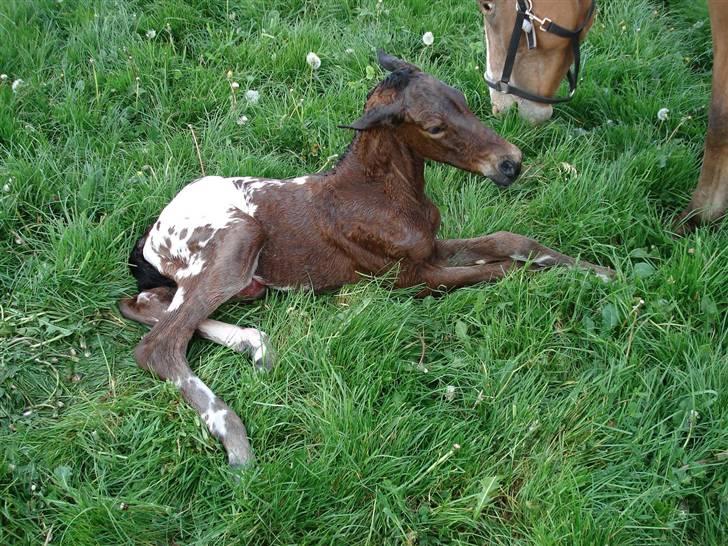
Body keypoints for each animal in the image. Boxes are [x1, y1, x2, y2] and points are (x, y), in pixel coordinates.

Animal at [121, 51, 616, 466]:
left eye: (462, 99)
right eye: (433, 127)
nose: (511, 163)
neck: (387, 196)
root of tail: (150, 239)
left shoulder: (430, 248)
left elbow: (510, 241)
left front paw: (601, 273)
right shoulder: (408, 277)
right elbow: (504, 270)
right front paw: (573, 282)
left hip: (234, 279)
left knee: (146, 303)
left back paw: (254, 345)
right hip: (237, 239)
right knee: (158, 343)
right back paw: (236, 439)